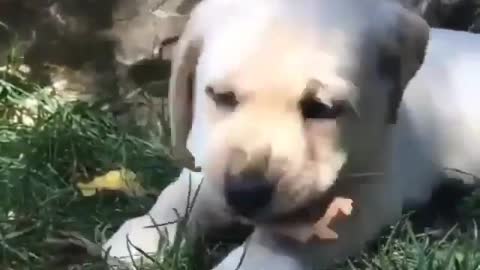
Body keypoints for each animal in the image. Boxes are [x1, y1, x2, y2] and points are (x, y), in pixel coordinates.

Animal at [102, 0, 480, 268]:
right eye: (221, 97)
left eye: (322, 108)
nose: (246, 194)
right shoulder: (207, 157)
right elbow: (181, 194)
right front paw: (142, 235)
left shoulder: (367, 194)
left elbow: (280, 244)